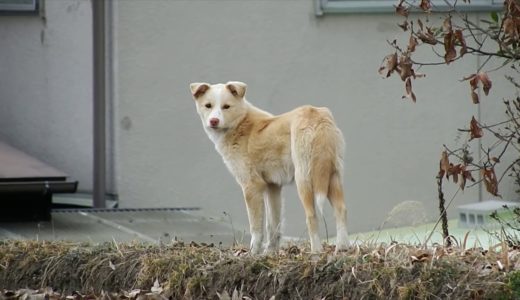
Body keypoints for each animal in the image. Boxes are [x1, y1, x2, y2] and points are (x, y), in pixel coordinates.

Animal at [189, 81, 348, 253]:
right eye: (208, 105)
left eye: (226, 106)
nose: (214, 121)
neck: (240, 124)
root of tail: (316, 115)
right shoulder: (273, 187)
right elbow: (273, 225)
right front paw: (270, 252)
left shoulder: (252, 186)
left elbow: (256, 228)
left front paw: (253, 253)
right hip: (332, 175)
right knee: (341, 210)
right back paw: (342, 248)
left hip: (305, 179)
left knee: (312, 216)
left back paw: (316, 252)